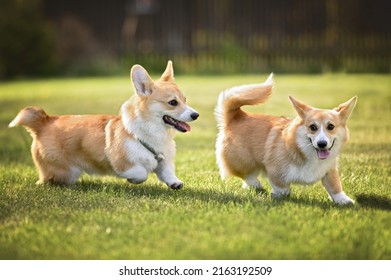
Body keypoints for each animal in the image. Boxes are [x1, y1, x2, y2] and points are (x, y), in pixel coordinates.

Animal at [9, 60, 199, 188]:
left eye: (185, 100)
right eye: (173, 102)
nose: (196, 115)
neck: (153, 133)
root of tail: (44, 121)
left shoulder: (164, 161)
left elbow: (167, 172)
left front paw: (174, 182)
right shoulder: (124, 163)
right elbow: (141, 172)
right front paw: (133, 179)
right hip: (62, 172)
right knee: (46, 180)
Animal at [217, 74, 358, 206]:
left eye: (331, 127)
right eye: (313, 127)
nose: (322, 144)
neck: (306, 151)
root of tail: (236, 116)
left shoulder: (330, 170)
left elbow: (335, 185)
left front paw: (344, 200)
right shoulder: (274, 170)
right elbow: (282, 188)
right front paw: (280, 196)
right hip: (245, 161)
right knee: (246, 174)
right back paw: (257, 185)